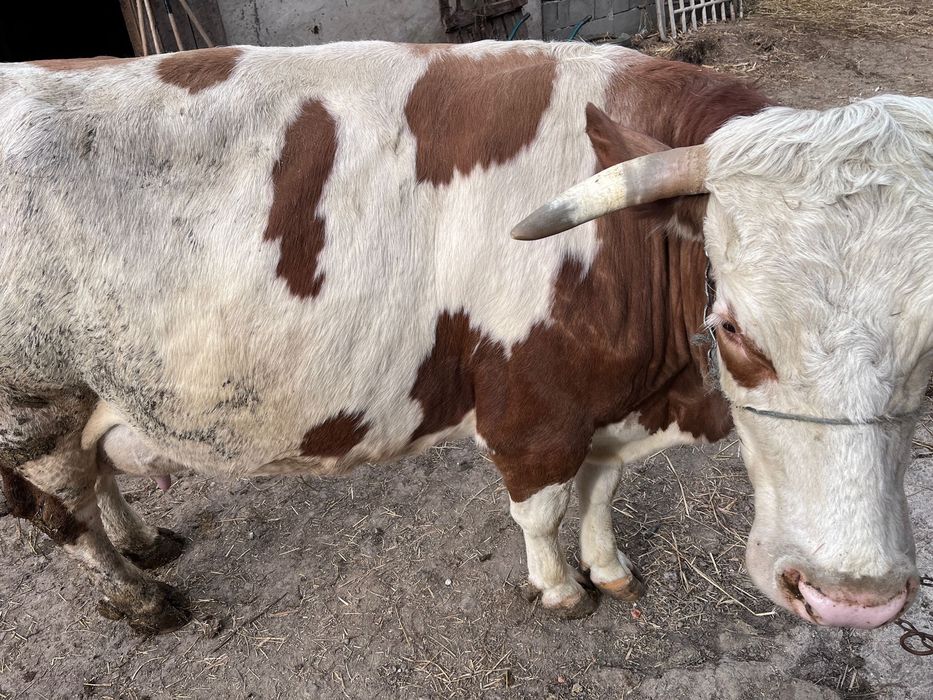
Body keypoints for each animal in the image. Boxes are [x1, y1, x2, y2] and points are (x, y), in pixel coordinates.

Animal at [1, 40, 930, 635]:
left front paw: (608, 567)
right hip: (35, 404)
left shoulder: (602, 405)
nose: (851, 599)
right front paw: (560, 589)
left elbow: (599, 492)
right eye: (731, 325)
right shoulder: (532, 409)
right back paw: (141, 598)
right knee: (63, 511)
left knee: (96, 473)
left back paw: (145, 541)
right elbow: (543, 508)